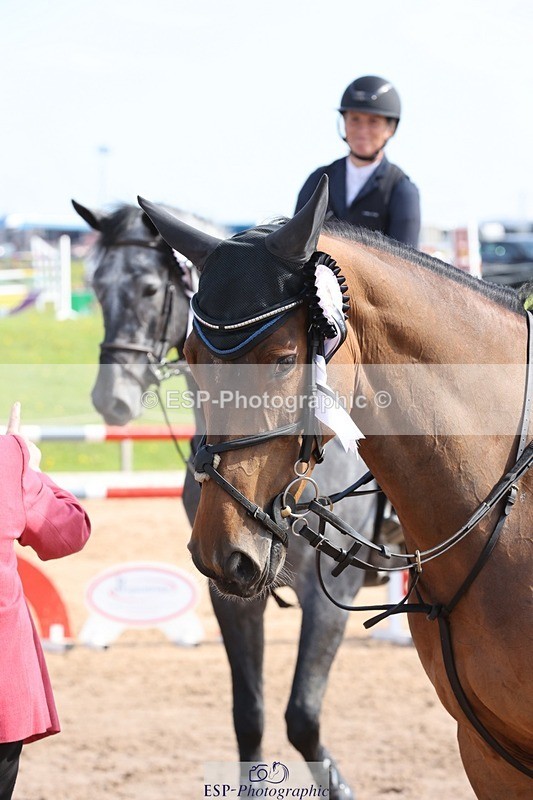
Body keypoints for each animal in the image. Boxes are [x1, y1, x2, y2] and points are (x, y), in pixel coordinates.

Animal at [72, 199, 378, 799]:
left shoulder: (331, 591)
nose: (110, 399)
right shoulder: (231, 588)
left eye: (148, 289)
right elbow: (249, 715)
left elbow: (302, 716)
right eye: (95, 287)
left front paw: (340, 786)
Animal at [138, 177, 533, 799]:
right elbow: (250, 714)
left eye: (282, 360)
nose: (222, 552)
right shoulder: (486, 754)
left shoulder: (330, 598)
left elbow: (301, 713)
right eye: (192, 357)